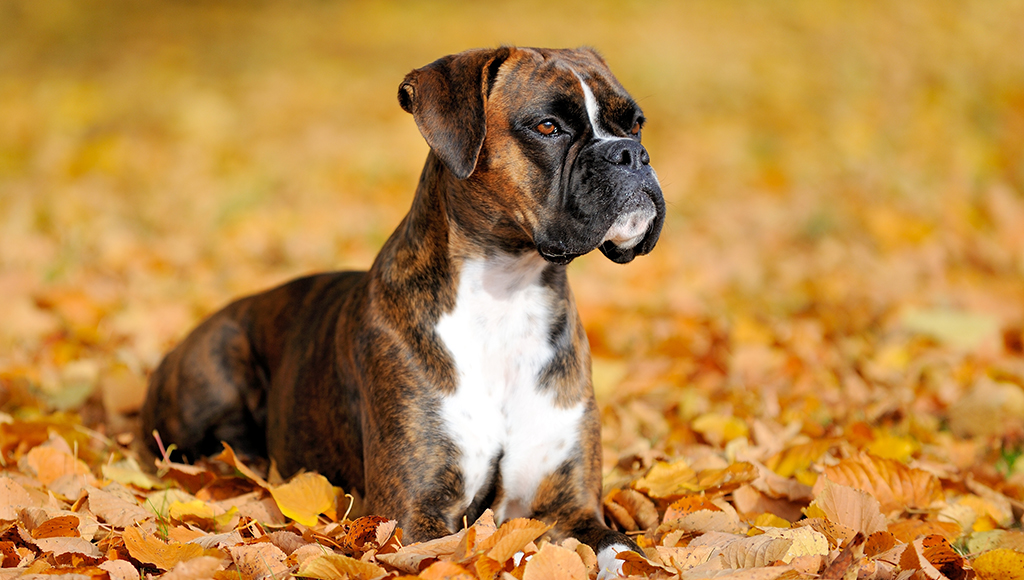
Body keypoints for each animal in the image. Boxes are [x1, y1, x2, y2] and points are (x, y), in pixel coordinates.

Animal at [144, 47, 667, 577]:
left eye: (636, 124)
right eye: (548, 126)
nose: (630, 154)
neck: (508, 293)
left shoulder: (573, 508)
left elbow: (625, 552)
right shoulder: (413, 515)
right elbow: (489, 552)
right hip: (218, 363)